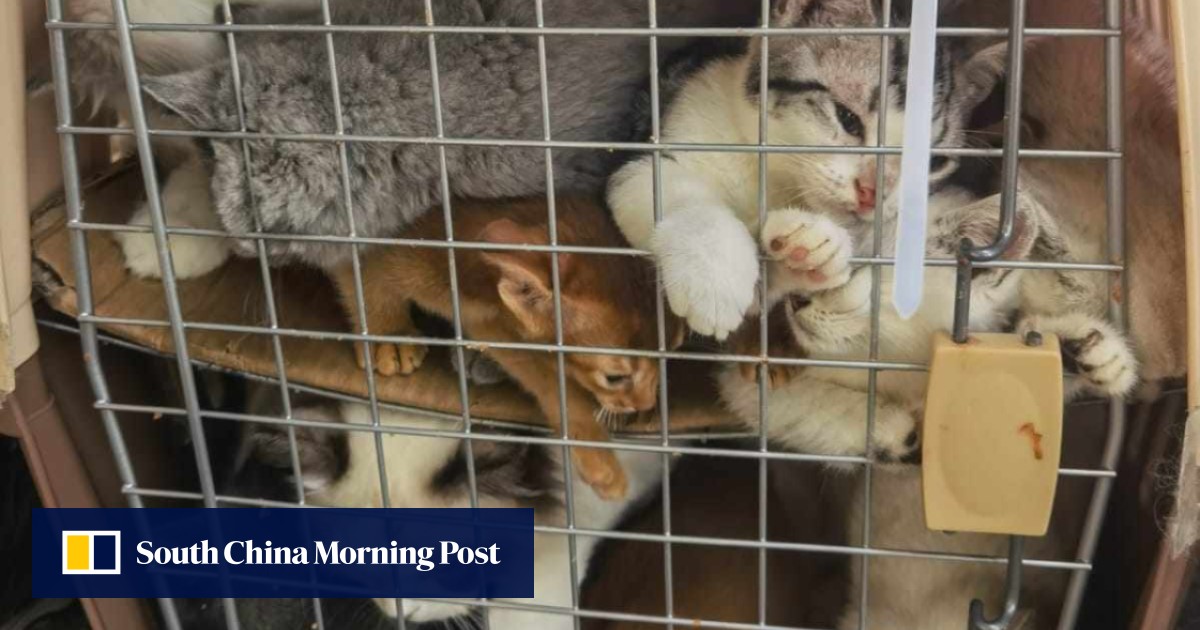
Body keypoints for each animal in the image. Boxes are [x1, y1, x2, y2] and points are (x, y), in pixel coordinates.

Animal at [328, 196, 686, 501]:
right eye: (614, 378)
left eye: (676, 347)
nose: (645, 403)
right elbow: (365, 280)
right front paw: (388, 334)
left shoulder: (492, 323)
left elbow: (545, 379)